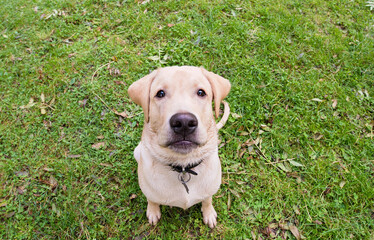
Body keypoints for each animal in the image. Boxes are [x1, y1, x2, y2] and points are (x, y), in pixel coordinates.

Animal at [127, 65, 229, 229]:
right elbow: (152, 200)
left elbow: (207, 200)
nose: (184, 122)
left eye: (201, 92)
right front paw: (153, 211)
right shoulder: (149, 191)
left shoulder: (209, 189)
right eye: (160, 93)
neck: (183, 166)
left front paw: (209, 213)